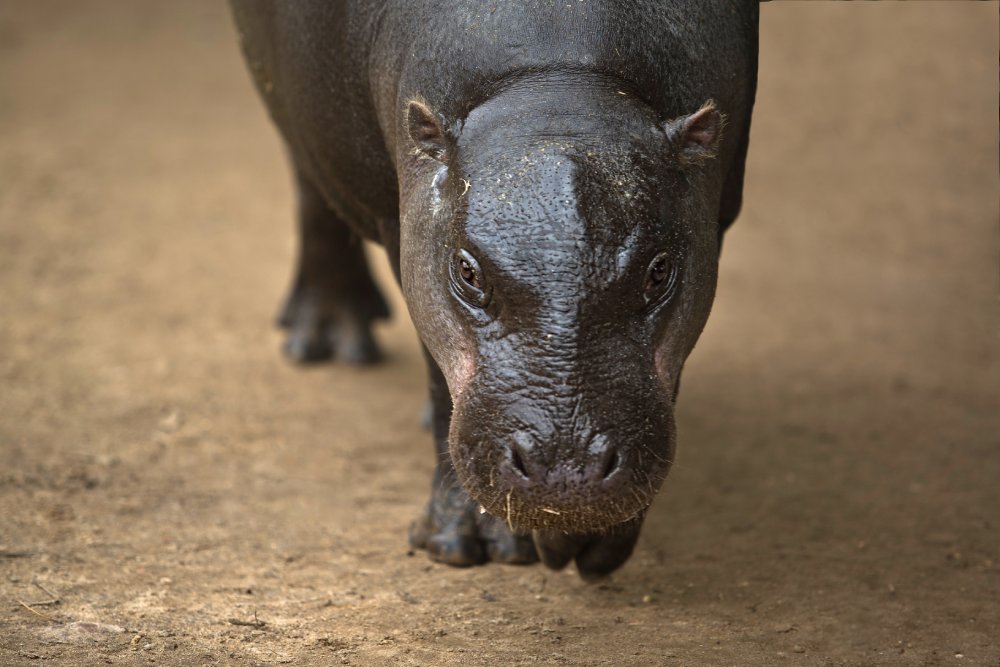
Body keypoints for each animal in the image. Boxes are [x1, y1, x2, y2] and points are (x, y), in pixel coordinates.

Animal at [229, 1, 759, 580]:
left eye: (660, 271)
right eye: (467, 272)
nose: (567, 474)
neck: (558, 85)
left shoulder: (714, 212)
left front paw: (589, 540)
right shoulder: (400, 221)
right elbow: (438, 375)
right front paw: (467, 544)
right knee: (309, 180)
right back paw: (328, 344)